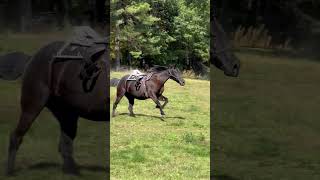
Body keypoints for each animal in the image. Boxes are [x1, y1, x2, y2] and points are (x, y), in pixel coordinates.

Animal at [5, 27, 109, 175]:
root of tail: (31, 59)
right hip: (33, 105)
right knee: (16, 136)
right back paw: (10, 171)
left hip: (67, 113)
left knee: (65, 144)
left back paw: (73, 172)